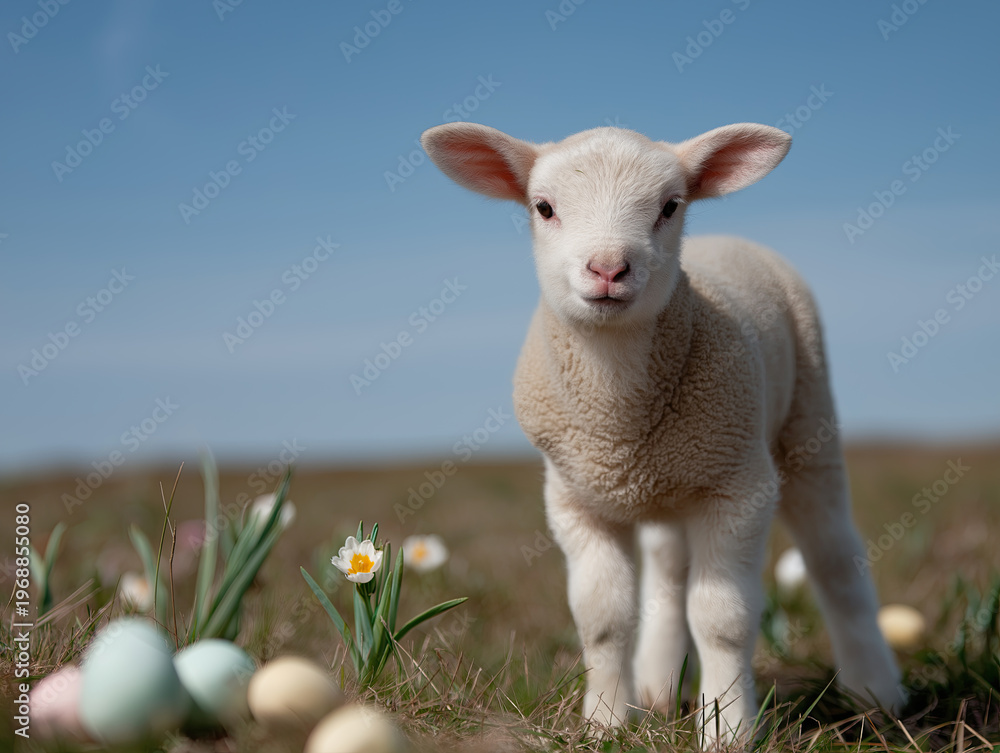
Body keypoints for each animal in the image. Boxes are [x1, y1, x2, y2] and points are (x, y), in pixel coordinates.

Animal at [421, 122, 905, 744]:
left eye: (670, 206)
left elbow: (722, 618)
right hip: (676, 478)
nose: (608, 268)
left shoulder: (737, 485)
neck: (618, 419)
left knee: (834, 558)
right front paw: (604, 724)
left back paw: (876, 692)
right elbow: (602, 616)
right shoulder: (576, 498)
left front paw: (727, 730)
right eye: (543, 207)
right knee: (669, 574)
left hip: (806, 421)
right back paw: (656, 688)